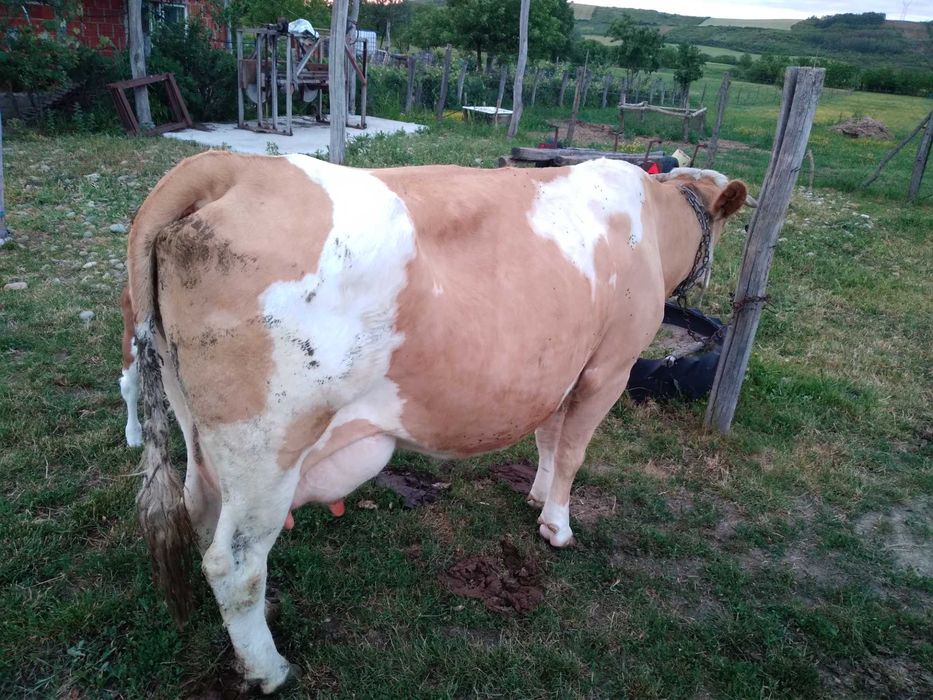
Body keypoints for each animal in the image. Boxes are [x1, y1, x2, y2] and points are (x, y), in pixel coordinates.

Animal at [127, 151, 753, 692]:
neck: (652, 220)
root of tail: (230, 165)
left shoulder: (563, 367)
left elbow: (549, 438)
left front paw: (537, 492)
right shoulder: (610, 365)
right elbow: (574, 450)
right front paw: (556, 525)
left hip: (199, 427)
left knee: (200, 509)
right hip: (267, 442)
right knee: (235, 563)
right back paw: (269, 669)